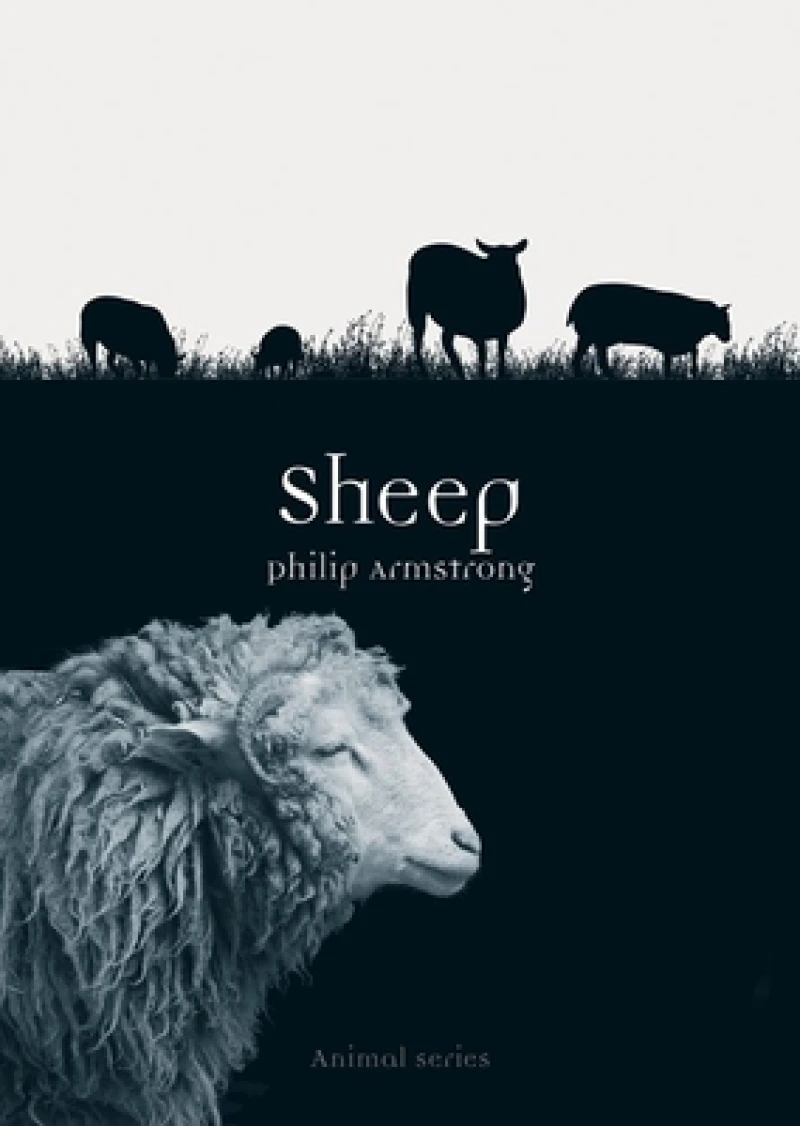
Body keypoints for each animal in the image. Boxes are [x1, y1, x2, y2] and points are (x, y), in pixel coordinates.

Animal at [406, 239, 528, 379]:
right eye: (490, 261)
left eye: (511, 260)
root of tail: (415, 256)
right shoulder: (479, 331)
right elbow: (482, 358)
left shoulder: (503, 332)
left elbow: (501, 357)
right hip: (416, 308)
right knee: (418, 343)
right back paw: (426, 374)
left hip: (450, 319)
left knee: (445, 340)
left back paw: (460, 374)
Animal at [567, 283, 732, 379]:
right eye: (723, 319)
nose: (728, 337)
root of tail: (575, 304)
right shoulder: (670, 346)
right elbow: (669, 368)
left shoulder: (687, 346)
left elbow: (692, 364)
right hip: (591, 335)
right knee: (586, 359)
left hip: (594, 338)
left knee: (593, 360)